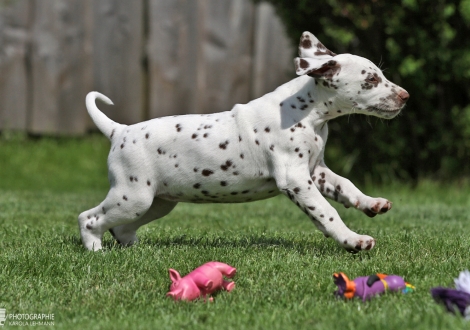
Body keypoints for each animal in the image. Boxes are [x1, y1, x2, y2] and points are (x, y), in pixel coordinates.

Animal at [80, 31, 408, 253]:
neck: (307, 113)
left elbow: (347, 186)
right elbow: (327, 212)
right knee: (89, 218)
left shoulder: (317, 171)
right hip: (132, 197)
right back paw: (95, 250)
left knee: (121, 228)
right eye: (371, 81)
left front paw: (371, 203)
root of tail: (119, 131)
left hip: (157, 202)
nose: (406, 96)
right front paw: (353, 239)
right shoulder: (296, 179)